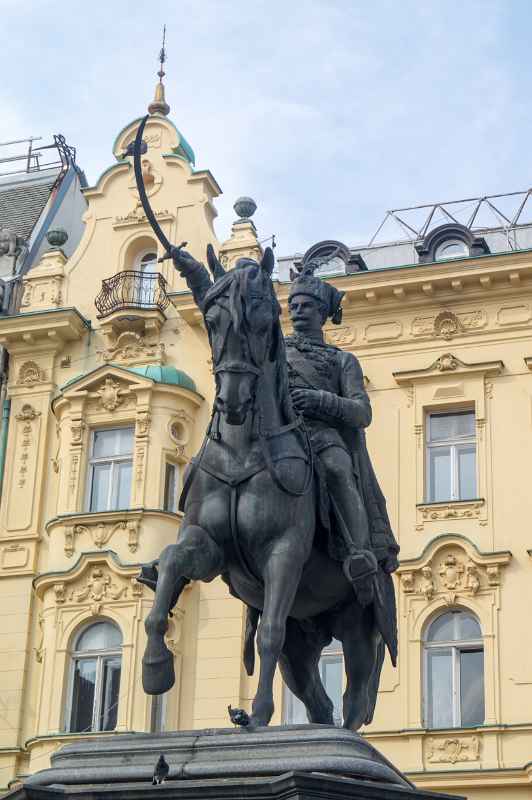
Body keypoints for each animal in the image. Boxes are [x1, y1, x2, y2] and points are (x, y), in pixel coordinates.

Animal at [141, 247, 390, 728]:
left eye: (262, 319)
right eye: (212, 320)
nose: (233, 401)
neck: (242, 453)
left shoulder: (284, 554)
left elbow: (268, 634)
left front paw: (257, 714)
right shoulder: (207, 547)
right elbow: (171, 565)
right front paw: (156, 667)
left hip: (358, 627)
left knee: (354, 702)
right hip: (304, 638)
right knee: (320, 703)